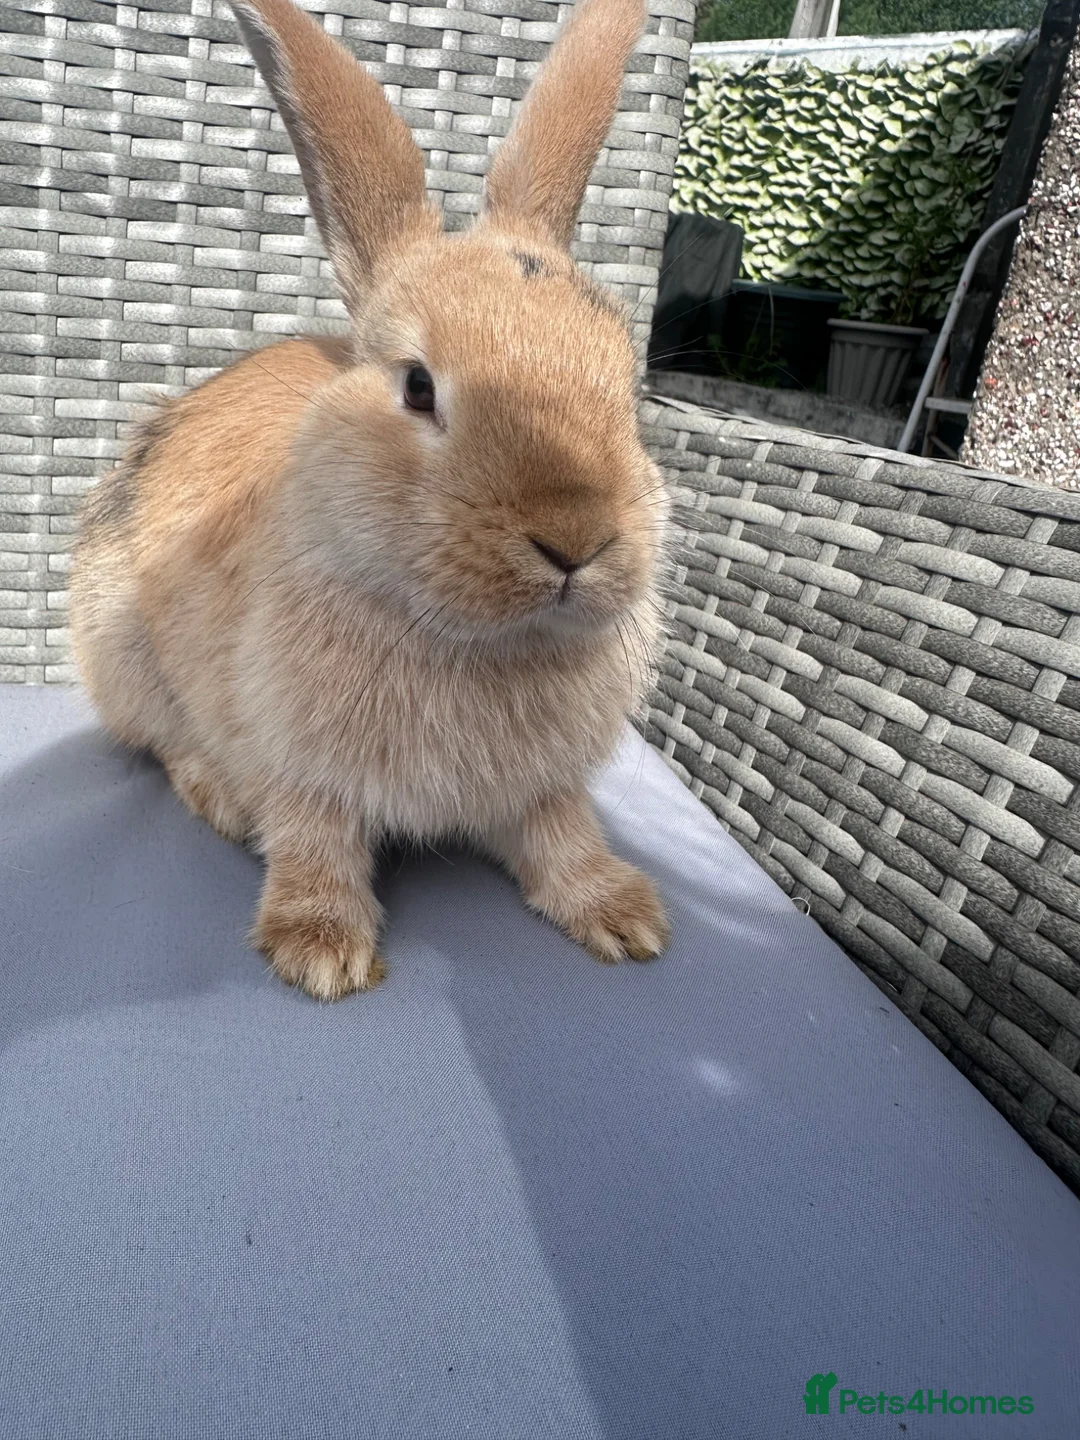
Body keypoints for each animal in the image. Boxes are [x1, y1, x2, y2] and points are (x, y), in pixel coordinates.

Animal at [69, 0, 671, 1000]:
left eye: (627, 391)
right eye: (419, 388)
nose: (575, 538)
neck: (470, 639)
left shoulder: (545, 787)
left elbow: (563, 836)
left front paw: (625, 918)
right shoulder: (300, 765)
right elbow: (314, 841)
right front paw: (319, 952)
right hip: (124, 658)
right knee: (164, 747)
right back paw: (220, 802)